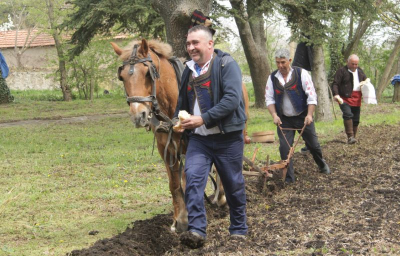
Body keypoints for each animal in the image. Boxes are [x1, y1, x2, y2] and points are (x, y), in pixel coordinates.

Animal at [111, 39, 250, 233]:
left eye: (147, 73)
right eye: (122, 77)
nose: (138, 116)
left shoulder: (188, 147)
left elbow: (187, 179)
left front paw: (188, 217)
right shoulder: (165, 148)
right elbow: (174, 184)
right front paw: (179, 220)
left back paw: (223, 197)